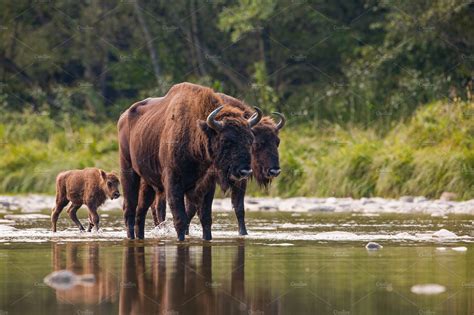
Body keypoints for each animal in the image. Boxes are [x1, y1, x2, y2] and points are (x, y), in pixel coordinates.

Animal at [116, 82, 262, 241]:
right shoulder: (173, 184)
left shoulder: (207, 186)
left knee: (141, 211)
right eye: (226, 140)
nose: (245, 171)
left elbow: (206, 219)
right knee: (129, 208)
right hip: (128, 170)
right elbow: (180, 219)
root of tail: (123, 117)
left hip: (147, 182)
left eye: (250, 139)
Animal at [152, 92, 286, 236]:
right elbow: (191, 208)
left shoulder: (239, 180)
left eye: (277, 142)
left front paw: (243, 233)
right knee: (159, 205)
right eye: (258, 143)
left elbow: (239, 207)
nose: (274, 171)